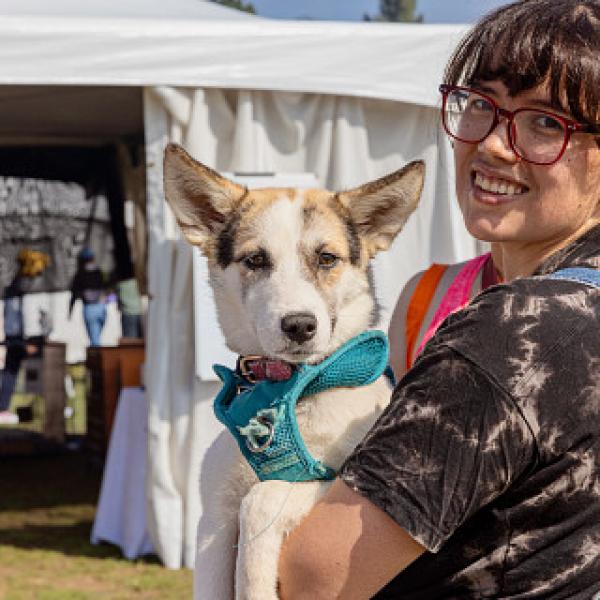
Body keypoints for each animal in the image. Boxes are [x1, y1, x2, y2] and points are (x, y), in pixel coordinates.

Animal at [163, 143, 425, 600]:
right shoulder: (214, 517)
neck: (291, 391)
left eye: (327, 258)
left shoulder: (335, 485)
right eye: (255, 259)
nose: (300, 325)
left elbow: (262, 500)